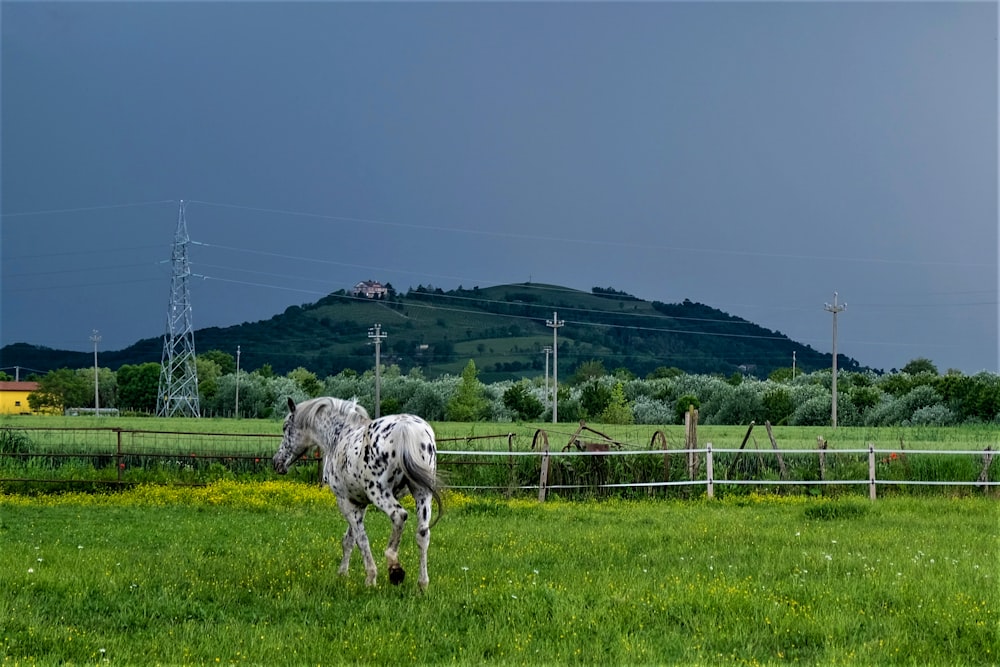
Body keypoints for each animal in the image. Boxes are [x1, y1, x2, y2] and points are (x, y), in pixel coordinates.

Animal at [274, 396, 446, 588]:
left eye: (285, 427)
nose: (276, 462)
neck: (340, 435)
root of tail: (406, 427)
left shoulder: (345, 502)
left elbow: (361, 539)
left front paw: (370, 578)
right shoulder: (359, 502)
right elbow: (349, 539)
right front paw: (343, 573)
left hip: (380, 492)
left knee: (399, 515)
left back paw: (394, 568)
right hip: (422, 494)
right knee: (422, 534)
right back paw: (422, 584)